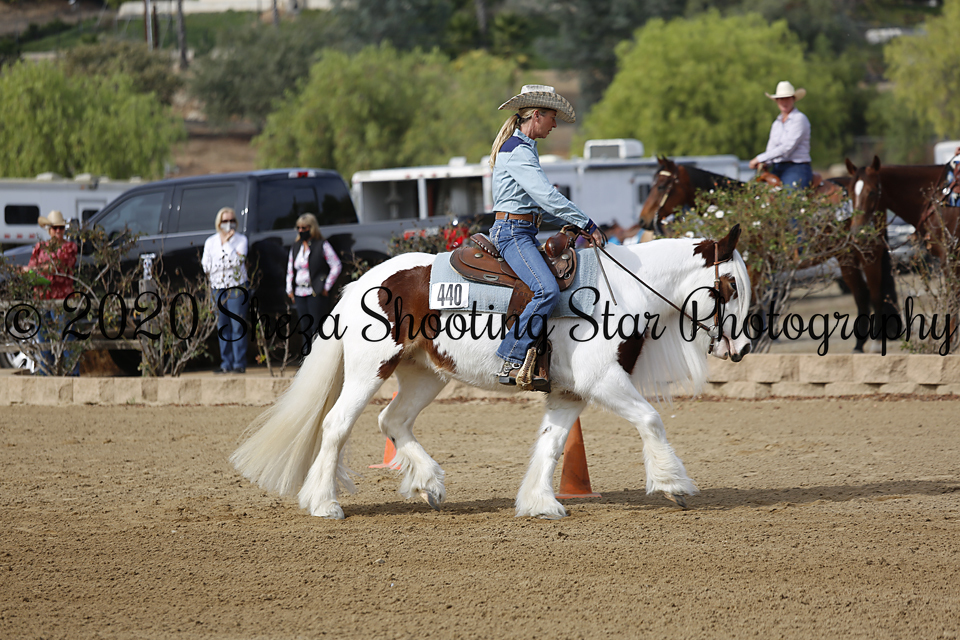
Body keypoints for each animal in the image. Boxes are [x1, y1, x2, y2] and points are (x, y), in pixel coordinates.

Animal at [230, 226, 753, 520]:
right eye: (729, 285)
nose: (744, 347)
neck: (619, 290)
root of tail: (361, 282)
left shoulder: (569, 394)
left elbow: (551, 444)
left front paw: (541, 503)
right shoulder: (604, 382)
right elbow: (650, 420)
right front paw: (673, 486)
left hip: (426, 375)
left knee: (392, 421)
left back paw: (428, 484)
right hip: (368, 371)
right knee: (337, 425)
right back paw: (325, 504)